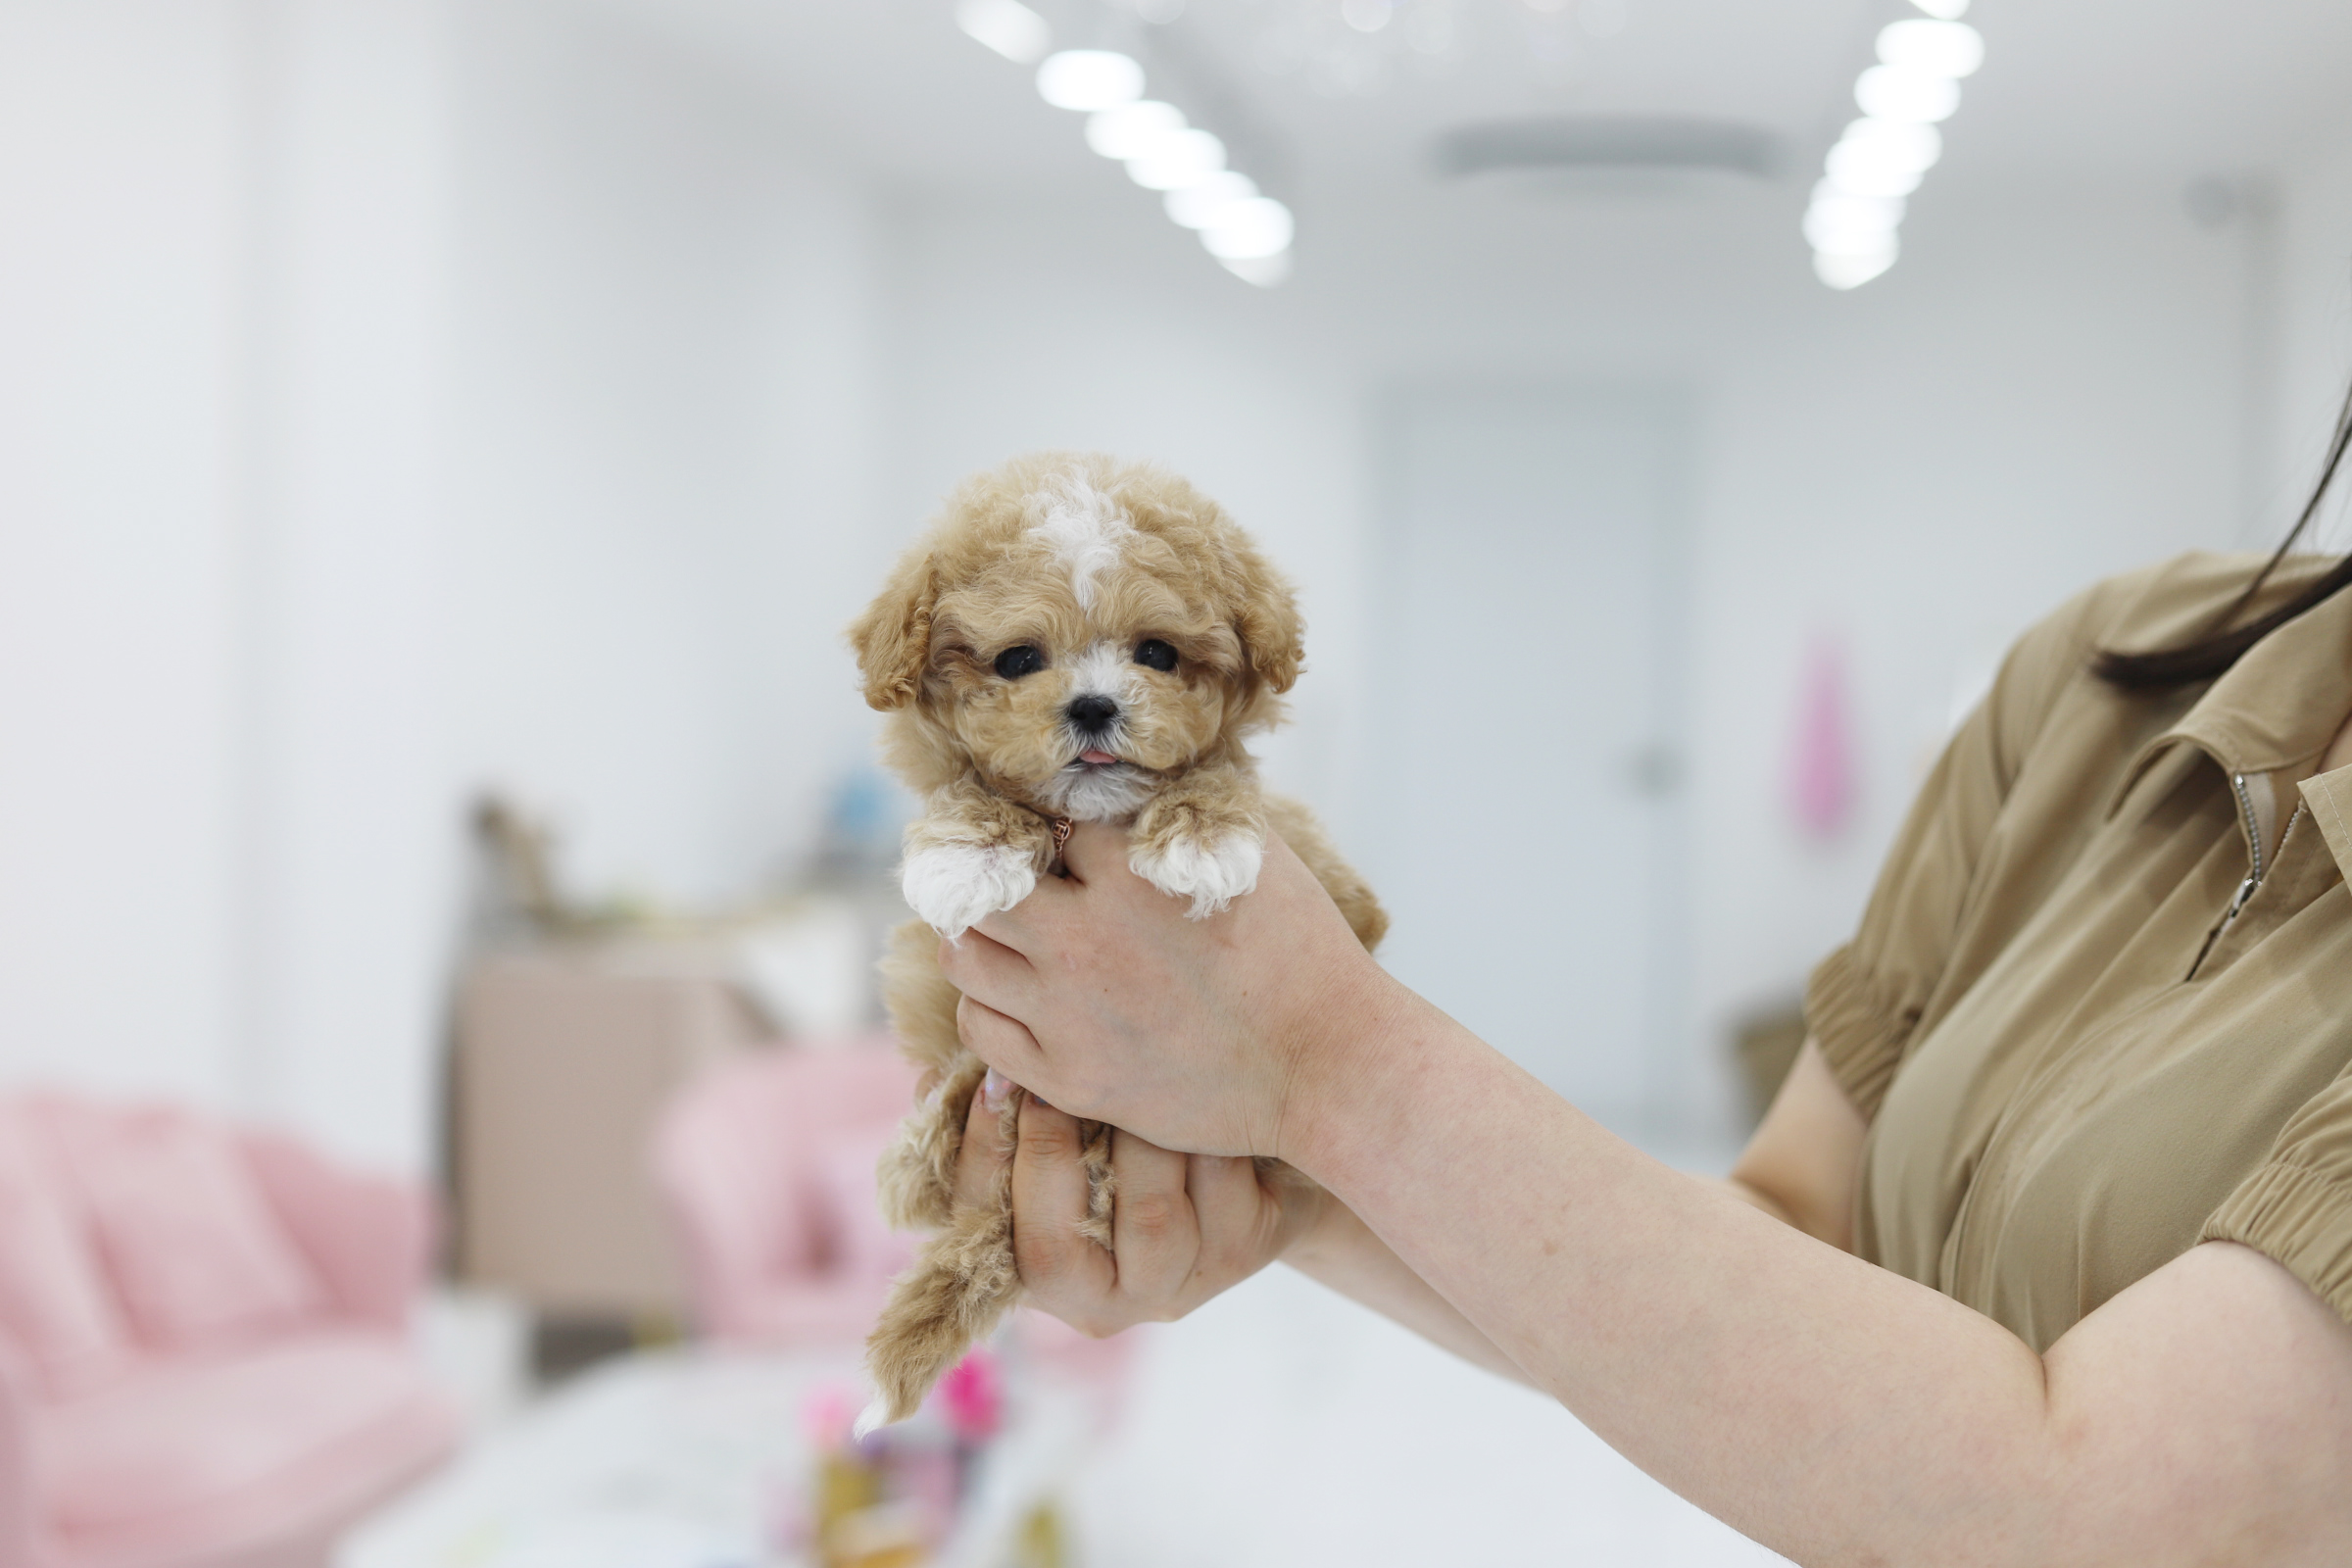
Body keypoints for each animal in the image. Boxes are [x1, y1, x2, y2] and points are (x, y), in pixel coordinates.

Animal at [856, 451, 1383, 1419]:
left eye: (1159, 654)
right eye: (1019, 660)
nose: (1095, 706)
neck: (1089, 818)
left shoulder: (1340, 893)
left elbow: (1225, 774)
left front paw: (1202, 835)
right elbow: (970, 797)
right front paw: (970, 847)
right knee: (953, 1105)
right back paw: (921, 1153)